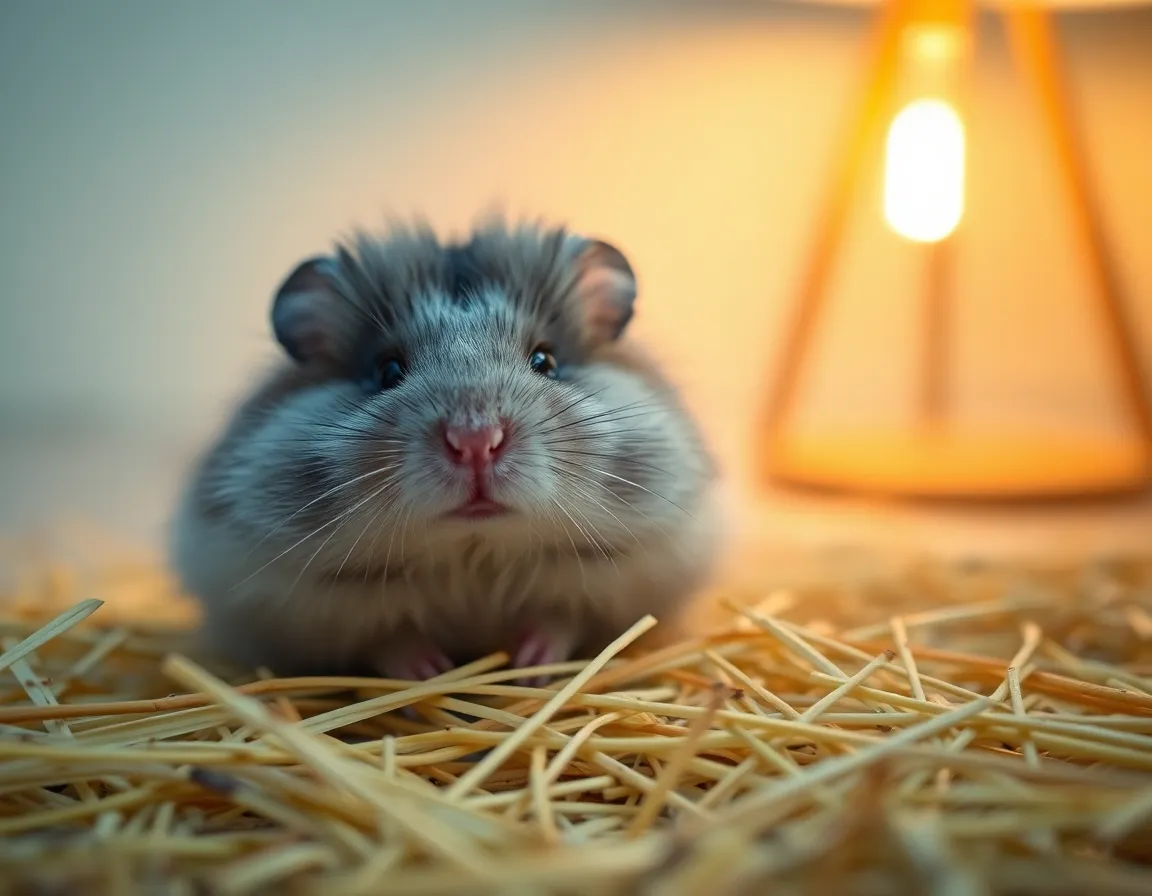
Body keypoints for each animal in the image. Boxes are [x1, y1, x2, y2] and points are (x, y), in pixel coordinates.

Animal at [169, 217, 723, 683]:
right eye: (388, 370)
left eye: (545, 360)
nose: (475, 441)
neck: (472, 552)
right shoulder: (308, 605)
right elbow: (389, 639)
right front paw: (430, 673)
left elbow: (558, 620)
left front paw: (530, 666)